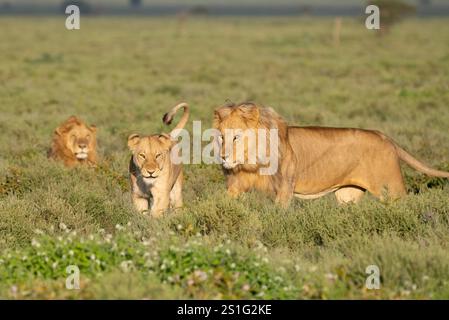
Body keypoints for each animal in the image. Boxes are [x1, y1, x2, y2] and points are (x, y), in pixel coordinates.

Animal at [213, 103, 448, 208]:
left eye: (236, 137)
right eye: (222, 137)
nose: (223, 157)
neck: (250, 162)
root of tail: (384, 136)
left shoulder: (284, 189)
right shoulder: (235, 186)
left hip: (392, 189)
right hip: (347, 195)